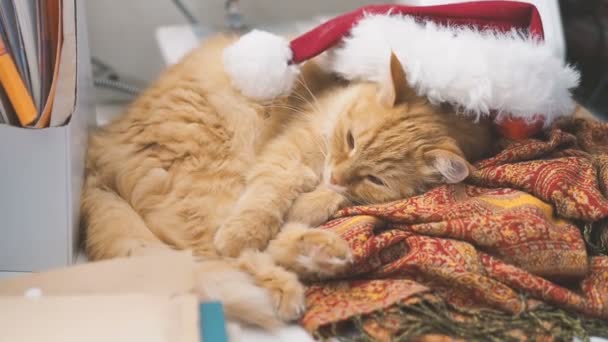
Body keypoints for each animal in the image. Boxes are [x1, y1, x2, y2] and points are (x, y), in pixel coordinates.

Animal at [81, 34, 496, 328]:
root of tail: (99, 141)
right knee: (224, 251)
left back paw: (322, 254)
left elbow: (325, 199)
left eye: (374, 178)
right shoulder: (287, 154)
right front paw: (267, 219)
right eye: (350, 140)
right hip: (210, 182)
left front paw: (313, 202)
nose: (337, 173)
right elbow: (267, 199)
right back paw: (290, 278)